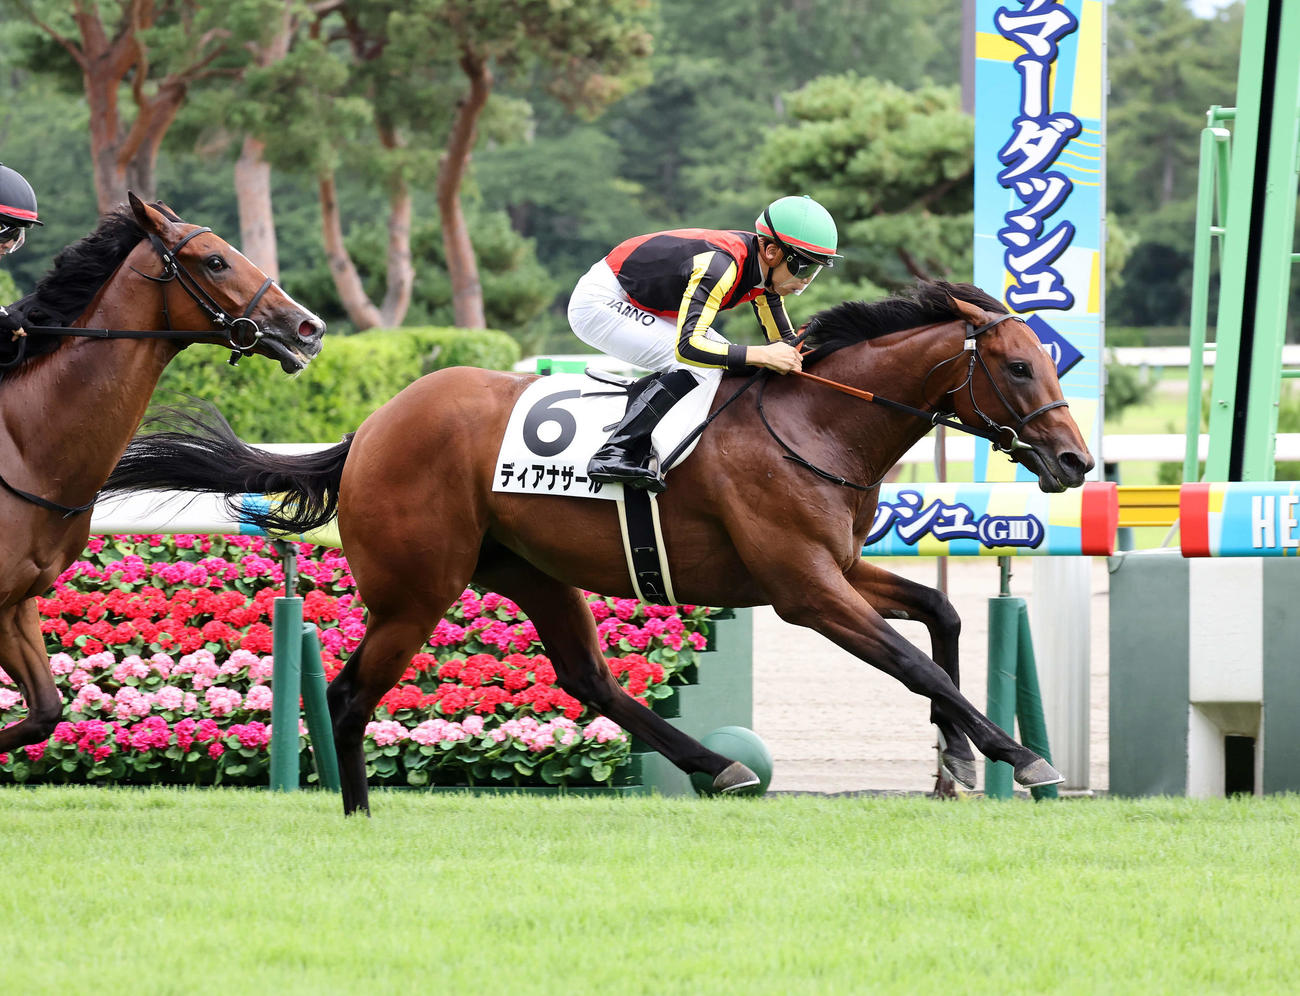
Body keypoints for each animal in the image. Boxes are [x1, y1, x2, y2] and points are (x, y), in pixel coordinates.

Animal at [104, 280, 1092, 815]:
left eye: (1052, 361)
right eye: (1017, 366)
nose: (1077, 461)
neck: (818, 420)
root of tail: (372, 428)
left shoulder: (838, 567)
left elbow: (942, 613)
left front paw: (958, 757)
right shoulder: (804, 589)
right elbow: (911, 661)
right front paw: (1019, 758)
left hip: (531, 573)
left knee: (589, 678)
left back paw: (721, 765)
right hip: (418, 588)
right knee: (350, 694)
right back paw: (358, 812)